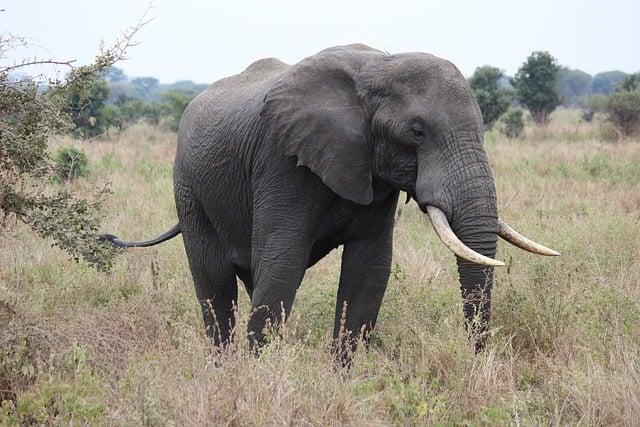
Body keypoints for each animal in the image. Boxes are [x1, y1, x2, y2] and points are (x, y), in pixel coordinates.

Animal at [102, 45, 556, 362]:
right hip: (189, 189)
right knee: (215, 283)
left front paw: (339, 378)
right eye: (417, 131)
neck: (379, 66)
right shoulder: (282, 160)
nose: (478, 358)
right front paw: (255, 378)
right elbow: (282, 264)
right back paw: (222, 368)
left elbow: (369, 271)